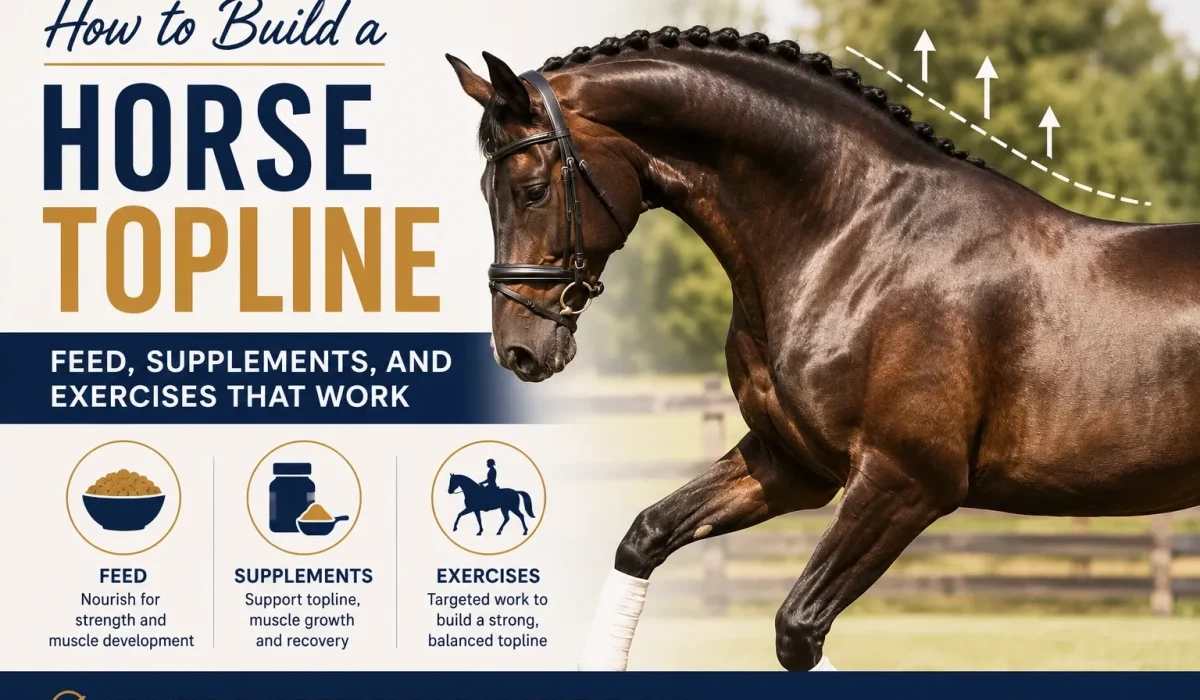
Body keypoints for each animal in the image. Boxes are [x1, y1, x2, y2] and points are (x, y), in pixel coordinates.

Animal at [446, 26, 1200, 671]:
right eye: (485, 190)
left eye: (531, 189)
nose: (519, 351)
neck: (853, 239)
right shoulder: (792, 464)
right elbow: (645, 535)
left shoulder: (906, 481)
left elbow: (797, 628)